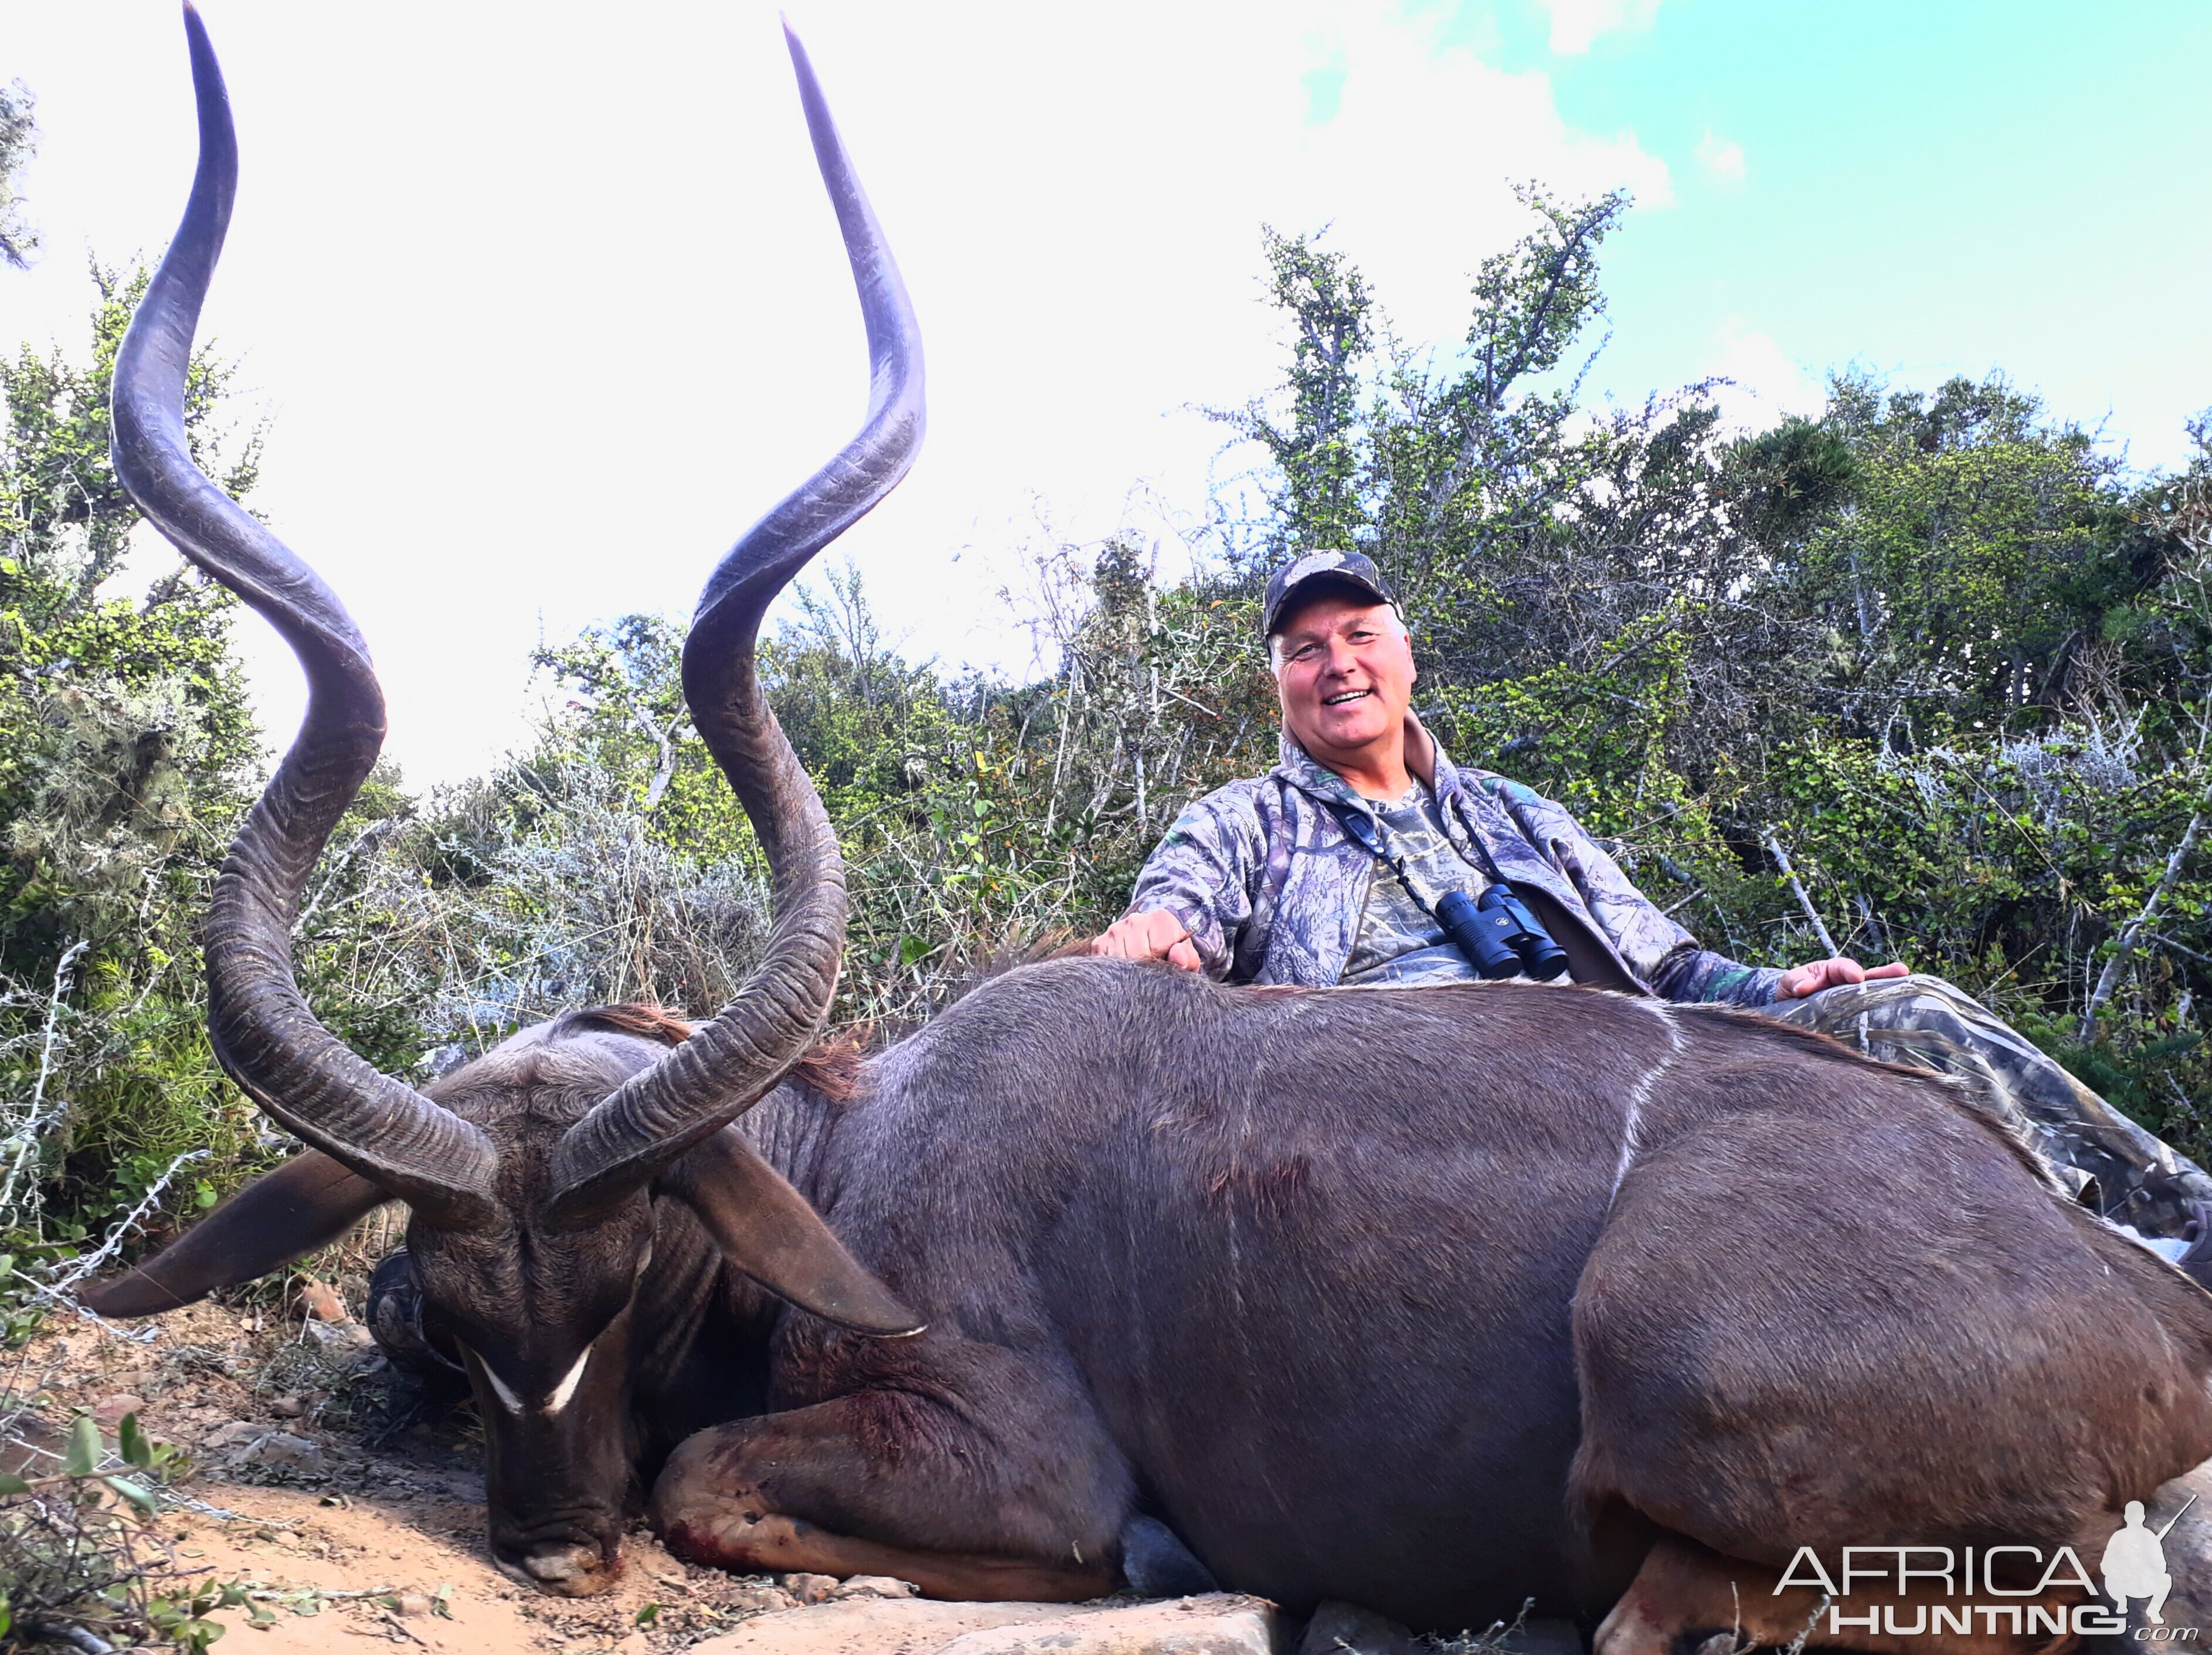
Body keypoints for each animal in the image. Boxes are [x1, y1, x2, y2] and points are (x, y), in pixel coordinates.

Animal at [86, 9, 2212, 1646]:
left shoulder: (1005, 1443)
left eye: (628, 1282)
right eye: (452, 1313)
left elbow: (718, 1471)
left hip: (1668, 1371)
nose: (548, 1546)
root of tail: (2154, 1318)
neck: (842, 1145)